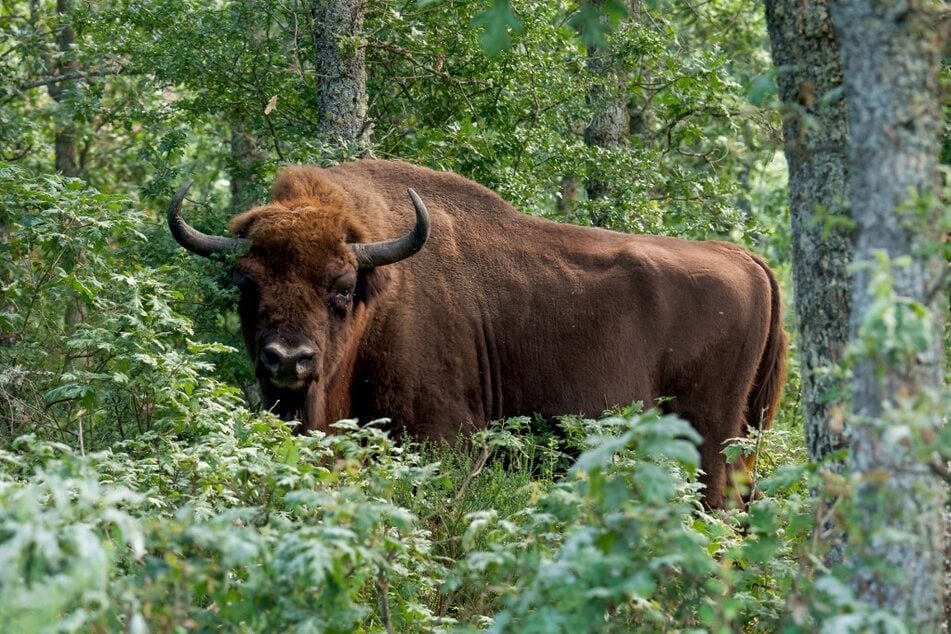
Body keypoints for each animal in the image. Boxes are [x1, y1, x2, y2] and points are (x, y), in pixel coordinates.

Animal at [169, 160, 788, 506]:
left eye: (341, 287)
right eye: (247, 284)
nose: (287, 360)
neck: (383, 296)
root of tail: (745, 259)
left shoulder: (444, 438)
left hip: (710, 439)